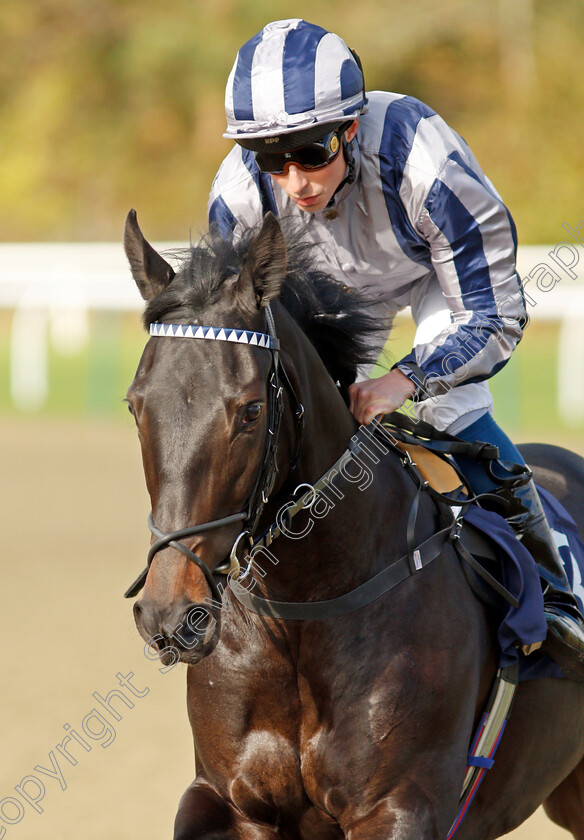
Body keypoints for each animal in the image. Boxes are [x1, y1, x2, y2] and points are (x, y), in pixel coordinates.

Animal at [122, 212, 584, 840]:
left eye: (250, 410)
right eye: (135, 405)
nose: (168, 615)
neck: (302, 610)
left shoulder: (399, 806)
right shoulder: (225, 798)